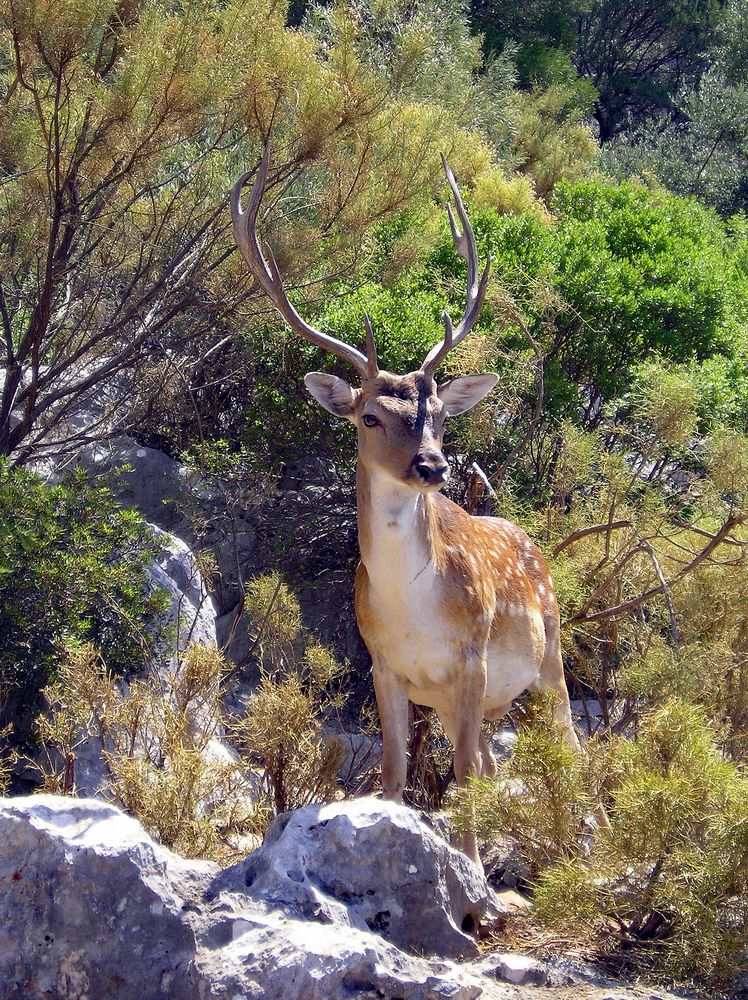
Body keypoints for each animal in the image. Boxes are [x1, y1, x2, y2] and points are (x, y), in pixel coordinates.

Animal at [234, 145, 584, 864]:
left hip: (551, 653)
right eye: (370, 416)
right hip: (472, 697)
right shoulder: (385, 665)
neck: (413, 608)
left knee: (568, 749)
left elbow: (464, 774)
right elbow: (397, 772)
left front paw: (471, 874)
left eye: (439, 418)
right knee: (493, 759)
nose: (433, 465)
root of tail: (532, 544)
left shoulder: (472, 656)